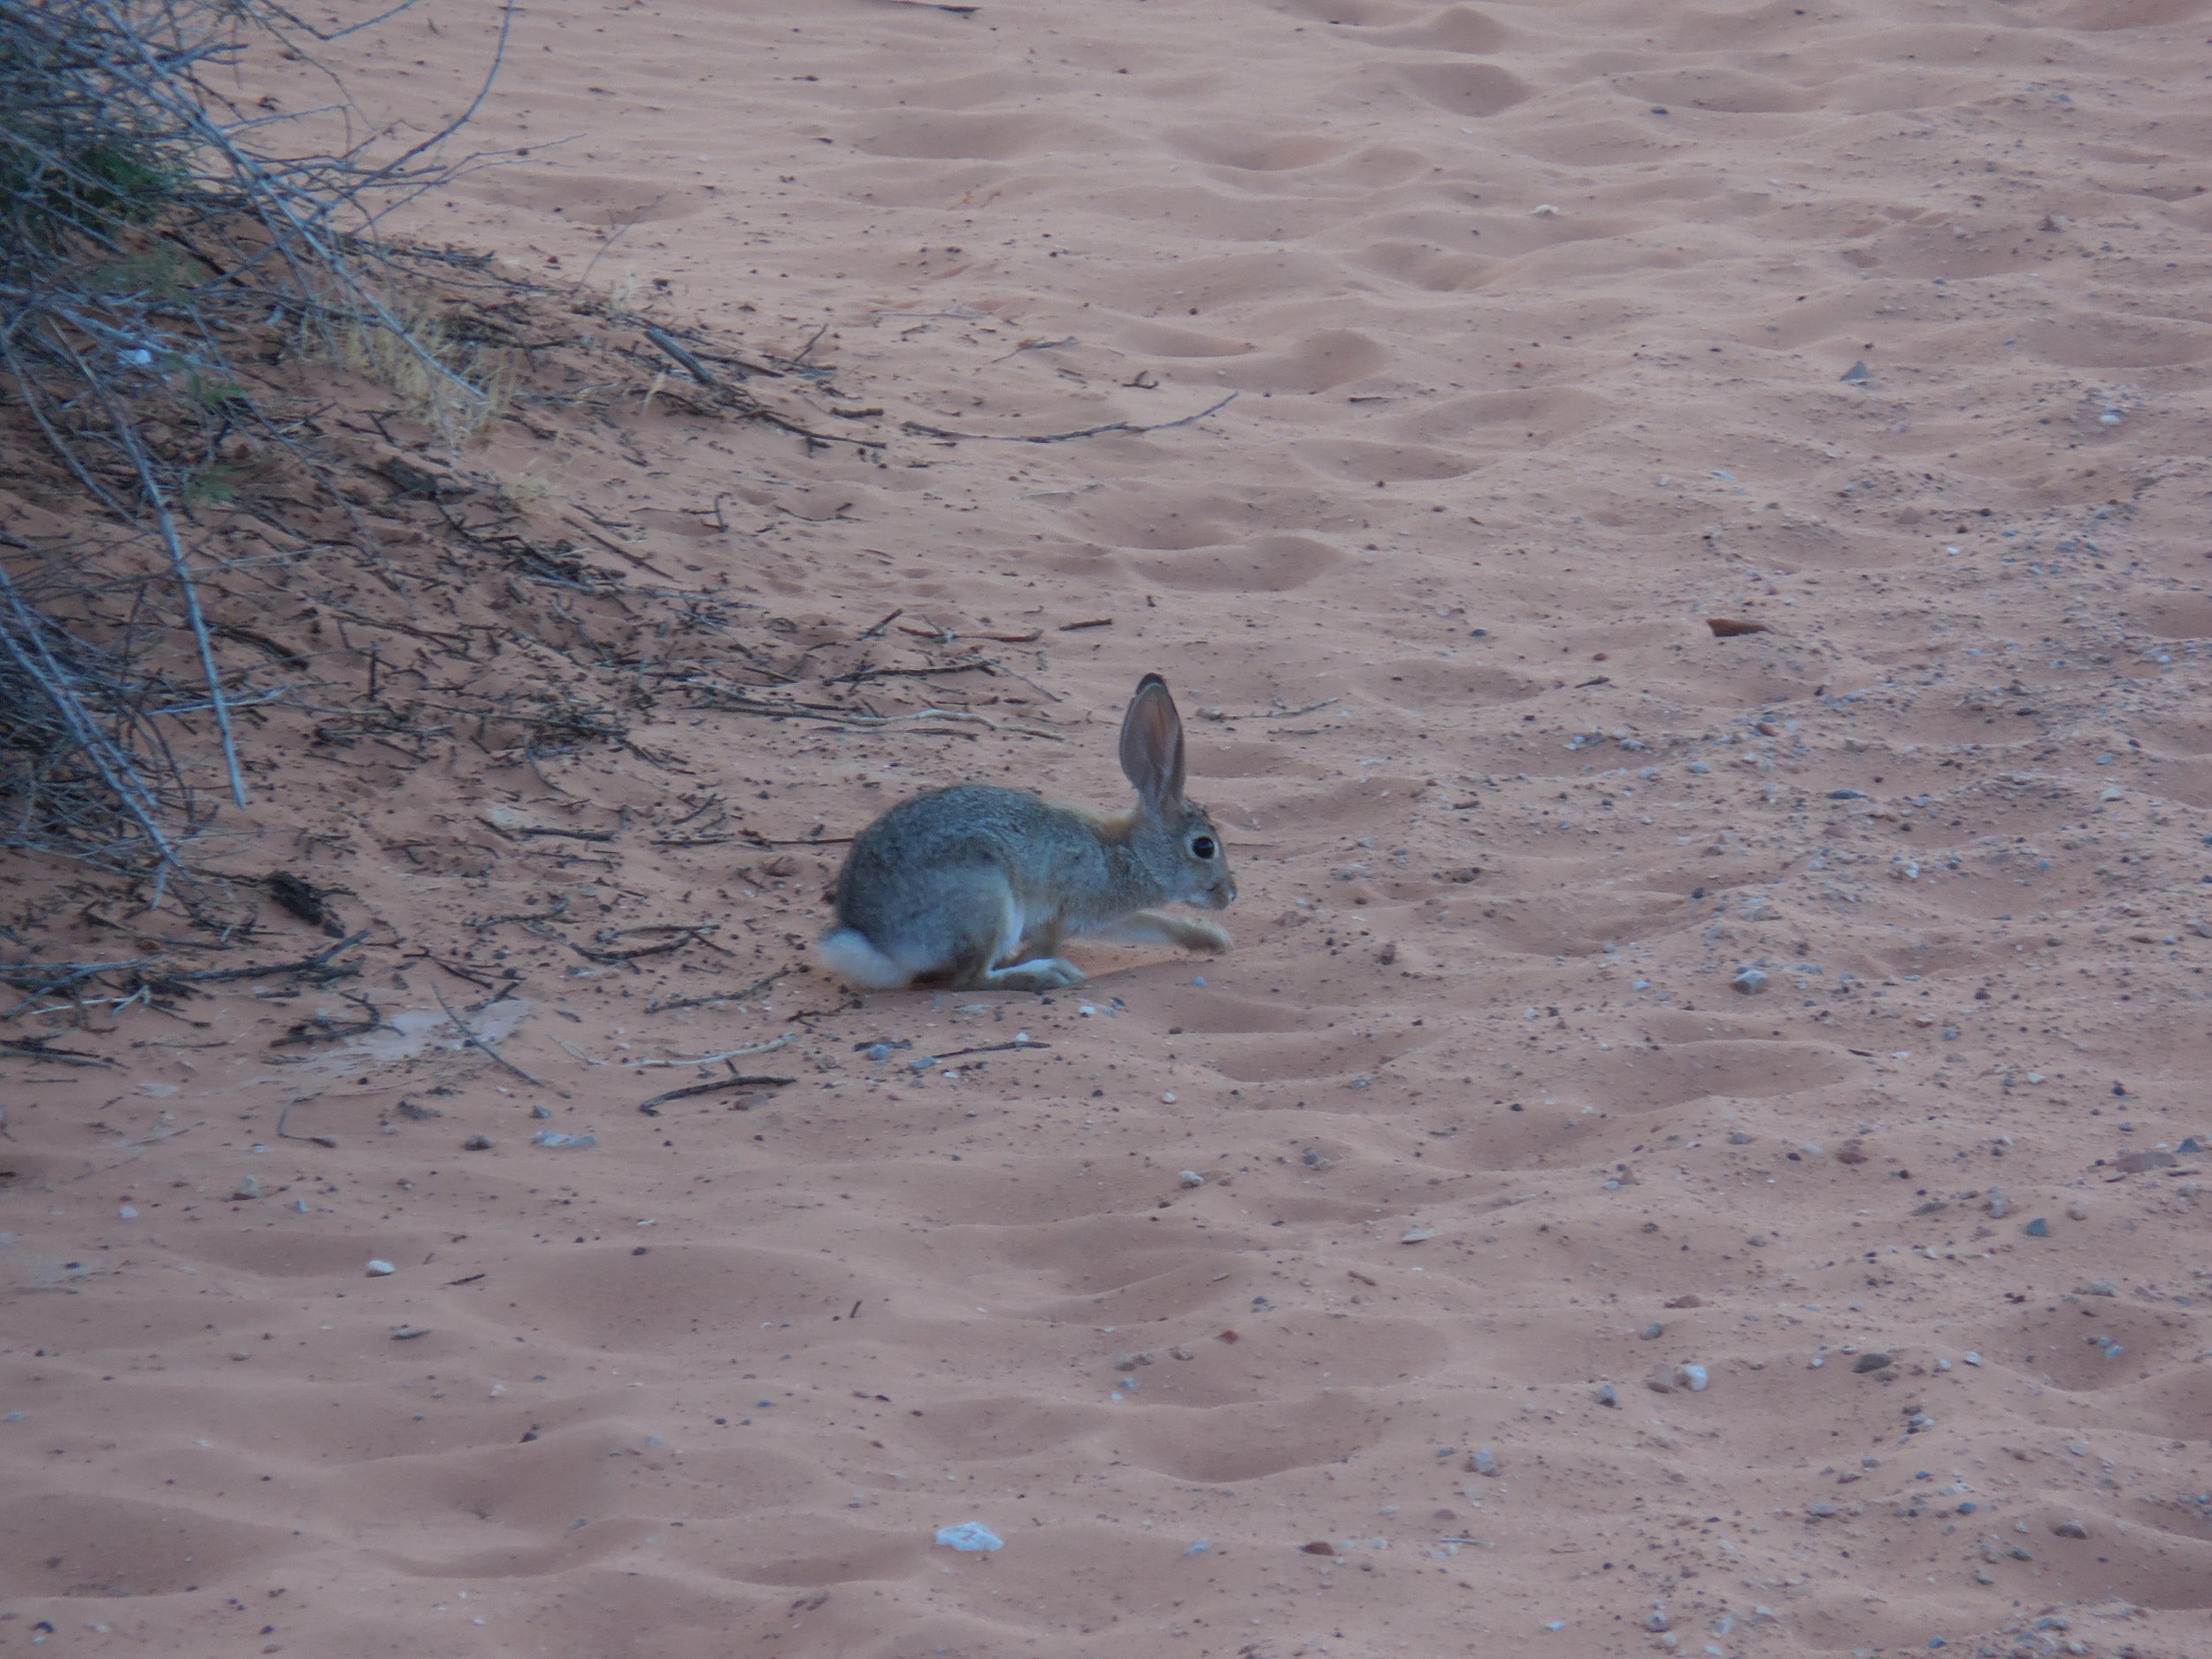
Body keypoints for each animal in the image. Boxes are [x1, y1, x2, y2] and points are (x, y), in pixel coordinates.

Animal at [818, 672, 1239, 995]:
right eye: (1204, 847)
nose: (1230, 894)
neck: (1131, 852)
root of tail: (876, 942)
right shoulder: (1065, 915)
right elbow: (1047, 942)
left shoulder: (1108, 919)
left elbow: (1155, 925)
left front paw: (1211, 940)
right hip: (988, 899)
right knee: (969, 981)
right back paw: (1045, 975)